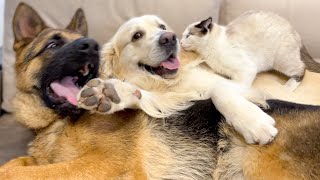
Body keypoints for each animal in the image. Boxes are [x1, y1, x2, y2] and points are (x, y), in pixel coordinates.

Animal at [180, 10, 316, 90]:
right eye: (183, 35)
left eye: (188, 35)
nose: (180, 42)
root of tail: (295, 30)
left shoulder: (247, 70)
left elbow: (237, 85)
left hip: (281, 61)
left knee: (301, 69)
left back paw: (288, 87)